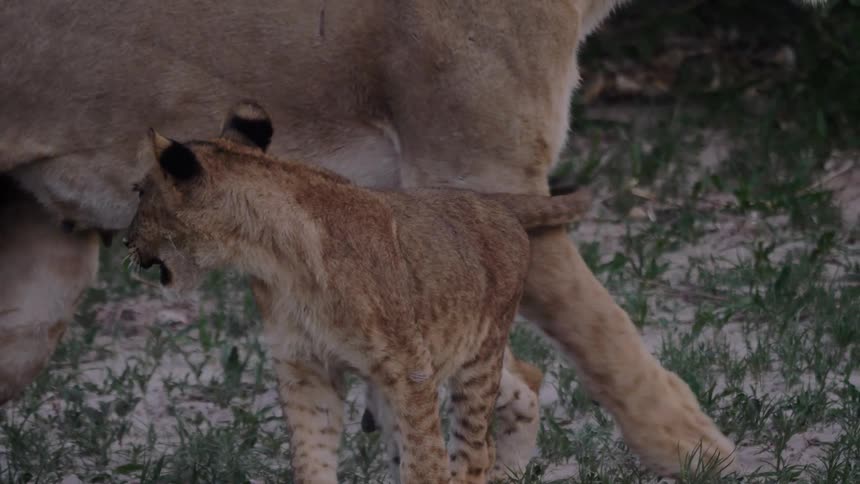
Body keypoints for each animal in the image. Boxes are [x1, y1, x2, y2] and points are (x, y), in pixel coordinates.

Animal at [124, 100, 591, 483]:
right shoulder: (304, 366)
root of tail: (493, 201)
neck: (273, 258)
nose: (126, 241)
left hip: (477, 354)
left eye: (140, 192)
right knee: (524, 383)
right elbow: (312, 458)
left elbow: (426, 464)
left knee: (476, 451)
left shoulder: (408, 369)